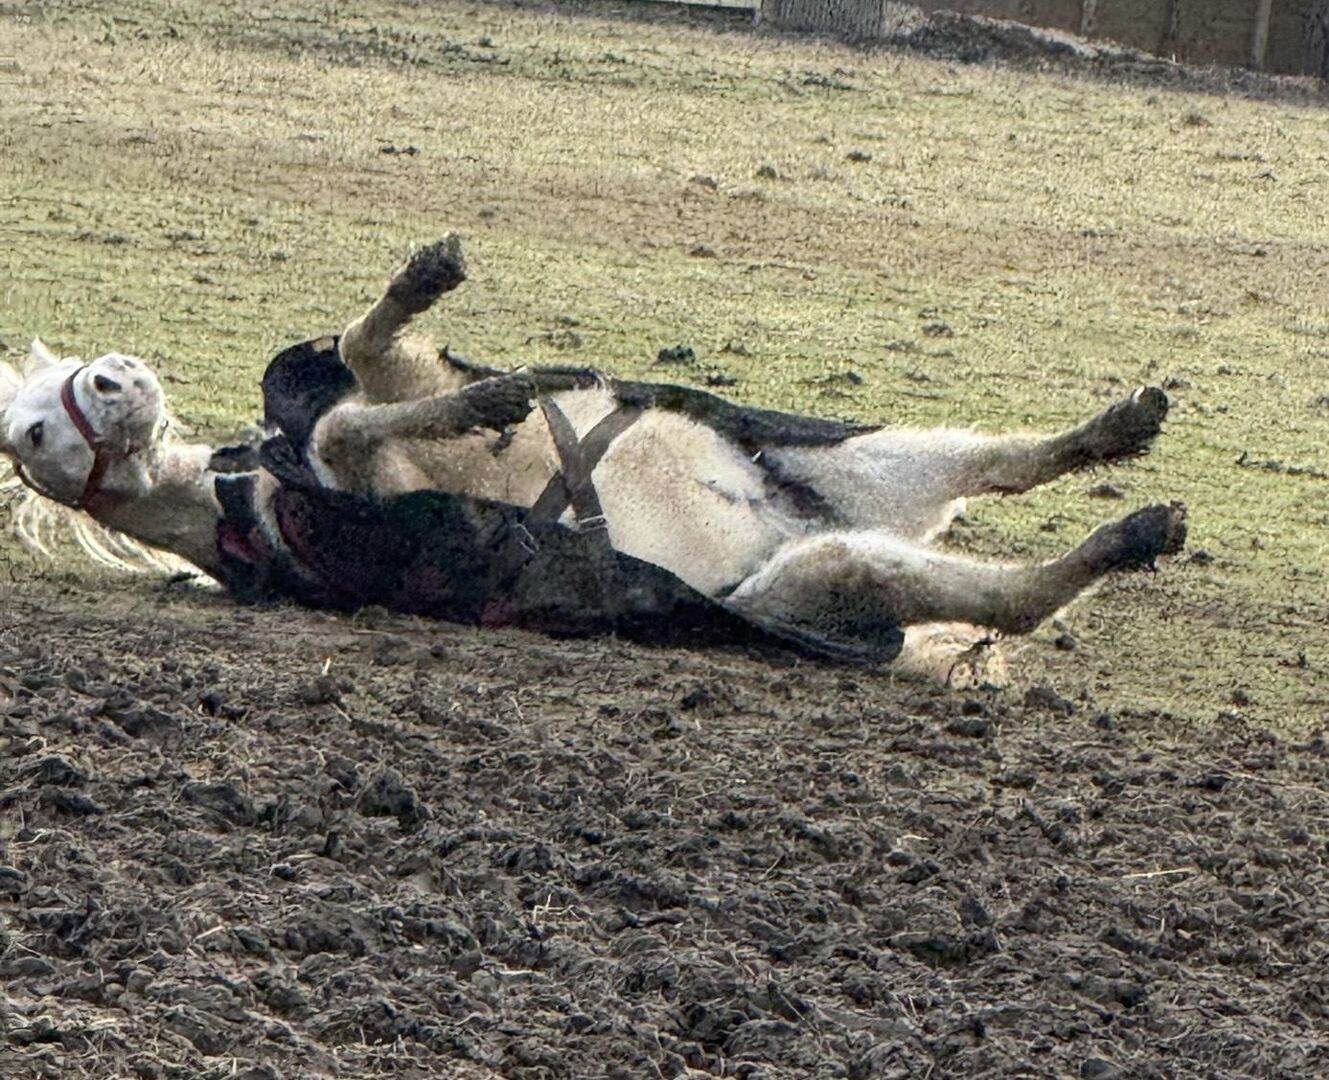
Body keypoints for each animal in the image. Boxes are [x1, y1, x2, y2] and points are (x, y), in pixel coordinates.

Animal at [0, 235, 1186, 679]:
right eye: (30, 432)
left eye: (57, 388)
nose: (115, 381)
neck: (242, 491)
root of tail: (806, 522)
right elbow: (349, 420)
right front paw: (486, 397)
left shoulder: (380, 389)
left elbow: (368, 360)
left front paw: (439, 307)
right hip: (821, 574)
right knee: (1006, 597)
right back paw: (1127, 533)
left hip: (863, 471)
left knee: (1004, 463)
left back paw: (1118, 436)